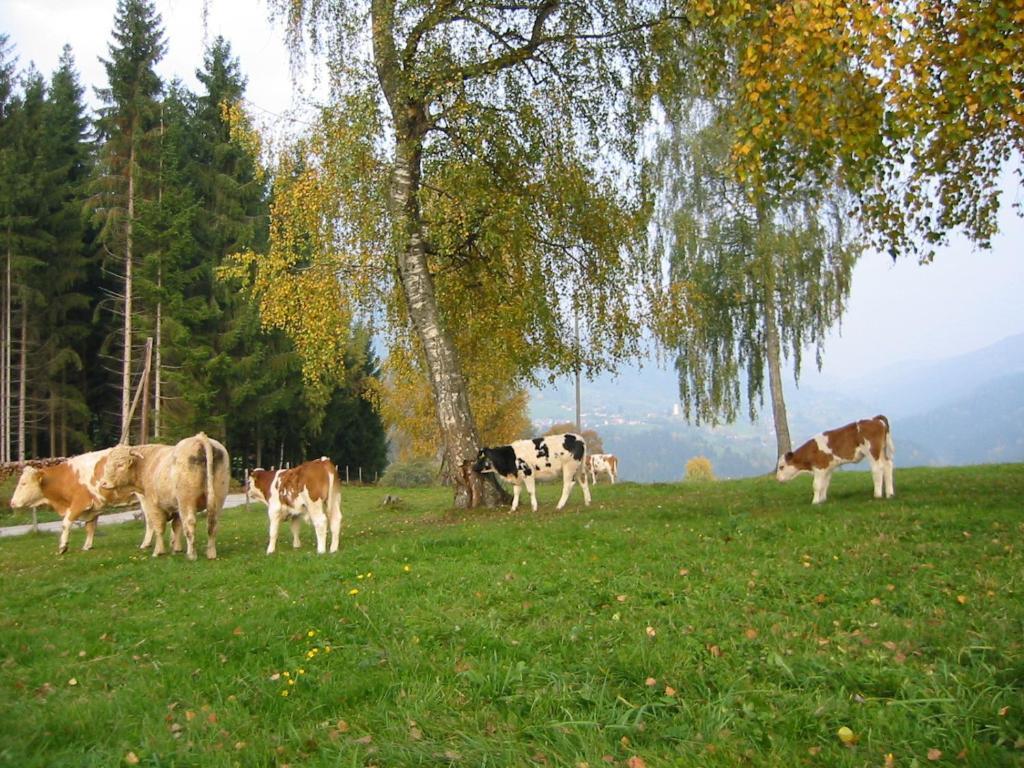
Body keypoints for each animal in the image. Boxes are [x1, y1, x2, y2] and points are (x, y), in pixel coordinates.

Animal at [9, 448, 138, 557]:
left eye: (23, 483)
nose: (12, 502)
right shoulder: (93, 508)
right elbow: (90, 527)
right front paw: (87, 546)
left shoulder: (79, 503)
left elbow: (66, 523)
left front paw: (63, 547)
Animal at [98, 434, 230, 565]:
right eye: (107, 464)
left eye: (120, 464)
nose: (103, 483)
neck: (146, 465)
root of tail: (200, 438)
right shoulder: (176, 507)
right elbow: (176, 526)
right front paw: (176, 549)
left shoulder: (153, 504)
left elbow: (159, 527)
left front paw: (158, 552)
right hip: (218, 497)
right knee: (213, 523)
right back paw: (211, 554)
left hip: (186, 500)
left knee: (190, 523)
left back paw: (191, 555)